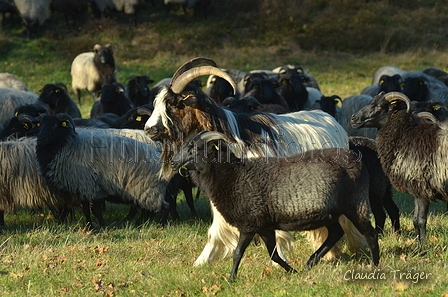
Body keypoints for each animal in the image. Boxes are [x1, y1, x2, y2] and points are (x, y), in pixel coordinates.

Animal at [35, 112, 168, 227]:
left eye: (55, 126)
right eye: (41, 124)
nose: (40, 138)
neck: (68, 146)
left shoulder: (86, 186)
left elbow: (90, 211)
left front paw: (94, 227)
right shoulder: (84, 188)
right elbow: (87, 210)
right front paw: (94, 226)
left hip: (146, 189)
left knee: (160, 207)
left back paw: (159, 224)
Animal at [145, 56, 370, 266]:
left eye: (173, 103)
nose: (149, 129)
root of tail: (332, 122)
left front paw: (279, 261)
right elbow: (217, 228)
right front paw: (202, 262)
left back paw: (358, 248)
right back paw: (333, 254)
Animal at [170, 130, 380, 280]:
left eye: (195, 148)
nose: (173, 162)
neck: (233, 175)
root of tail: (356, 159)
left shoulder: (249, 224)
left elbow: (238, 253)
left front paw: (231, 279)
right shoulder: (265, 226)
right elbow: (274, 254)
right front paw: (293, 272)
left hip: (356, 204)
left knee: (370, 233)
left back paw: (375, 265)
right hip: (330, 213)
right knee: (336, 233)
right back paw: (310, 262)